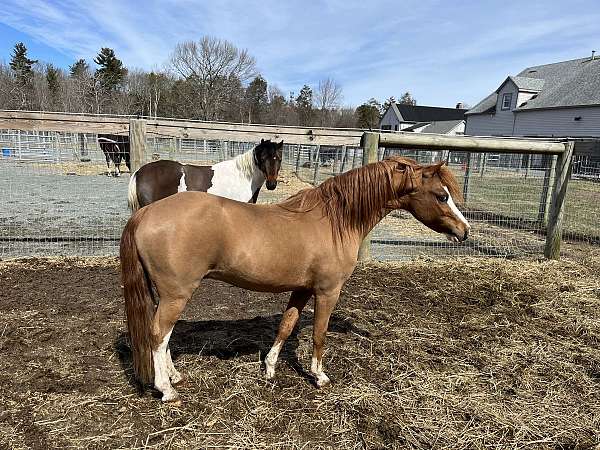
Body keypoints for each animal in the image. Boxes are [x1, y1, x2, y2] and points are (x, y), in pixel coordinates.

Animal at [120, 156, 468, 404]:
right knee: (158, 334)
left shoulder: (301, 289)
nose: (464, 232)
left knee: (163, 336)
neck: (335, 219)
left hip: (167, 295)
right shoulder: (327, 291)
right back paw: (167, 390)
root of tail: (145, 213)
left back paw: (174, 376)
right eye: (441, 196)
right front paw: (319, 376)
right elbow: (319, 334)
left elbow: (286, 326)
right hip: (177, 294)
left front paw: (270, 368)